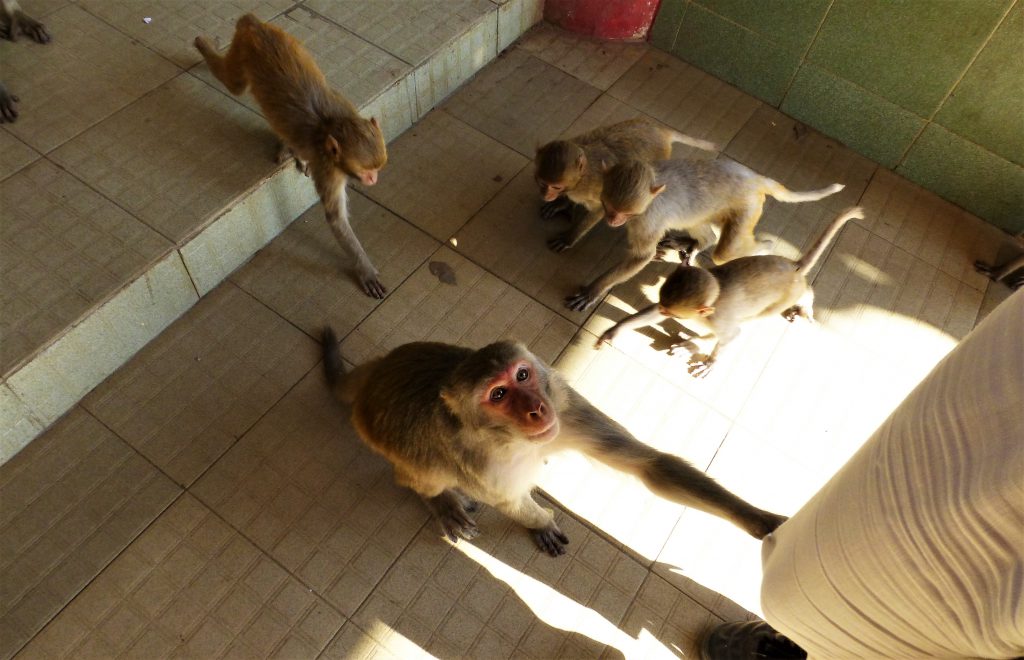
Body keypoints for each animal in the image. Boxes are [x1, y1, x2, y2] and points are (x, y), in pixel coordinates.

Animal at [194, 14, 387, 296]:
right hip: (244, 51)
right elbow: (336, 219)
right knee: (234, 83)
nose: (374, 180)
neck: (330, 126)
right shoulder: (328, 171)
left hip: (284, 38)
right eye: (366, 171)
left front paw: (293, 150)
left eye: (377, 169)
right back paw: (206, 46)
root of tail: (255, 25)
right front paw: (365, 269)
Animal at [323, 327, 786, 552]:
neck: (513, 439)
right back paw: (438, 498)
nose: (535, 409)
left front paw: (753, 517)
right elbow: (510, 502)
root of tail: (376, 374)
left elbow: (649, 464)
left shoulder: (565, 408)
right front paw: (542, 521)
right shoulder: (481, 462)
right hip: (378, 437)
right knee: (423, 472)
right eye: (498, 394)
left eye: (523, 375)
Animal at [565, 156, 843, 311]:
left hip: (748, 205)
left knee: (725, 252)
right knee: (700, 226)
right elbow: (593, 209)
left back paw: (765, 245)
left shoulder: (647, 218)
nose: (613, 220)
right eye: (610, 208)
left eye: (625, 213)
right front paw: (571, 235)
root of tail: (756, 178)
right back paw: (697, 241)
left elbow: (641, 256)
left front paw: (594, 290)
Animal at [598, 205, 868, 376]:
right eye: (664, 308)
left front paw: (712, 361)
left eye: (671, 312)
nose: (665, 313)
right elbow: (650, 314)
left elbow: (733, 334)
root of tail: (793, 267)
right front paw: (615, 331)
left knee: (757, 316)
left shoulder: (717, 318)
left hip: (784, 296)